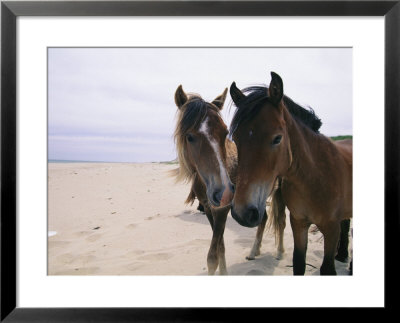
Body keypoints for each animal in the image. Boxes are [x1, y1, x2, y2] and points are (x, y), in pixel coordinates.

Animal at [173, 85, 282, 274]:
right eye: (189, 136)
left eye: (225, 133)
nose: (224, 193)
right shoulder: (209, 209)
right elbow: (220, 247)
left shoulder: (223, 210)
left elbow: (212, 257)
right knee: (264, 218)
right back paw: (254, 252)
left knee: (281, 221)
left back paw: (279, 252)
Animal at [230, 73, 352, 276]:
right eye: (236, 139)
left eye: (277, 138)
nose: (242, 213)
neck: (315, 178)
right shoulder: (299, 223)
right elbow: (299, 263)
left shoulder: (331, 228)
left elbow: (327, 268)